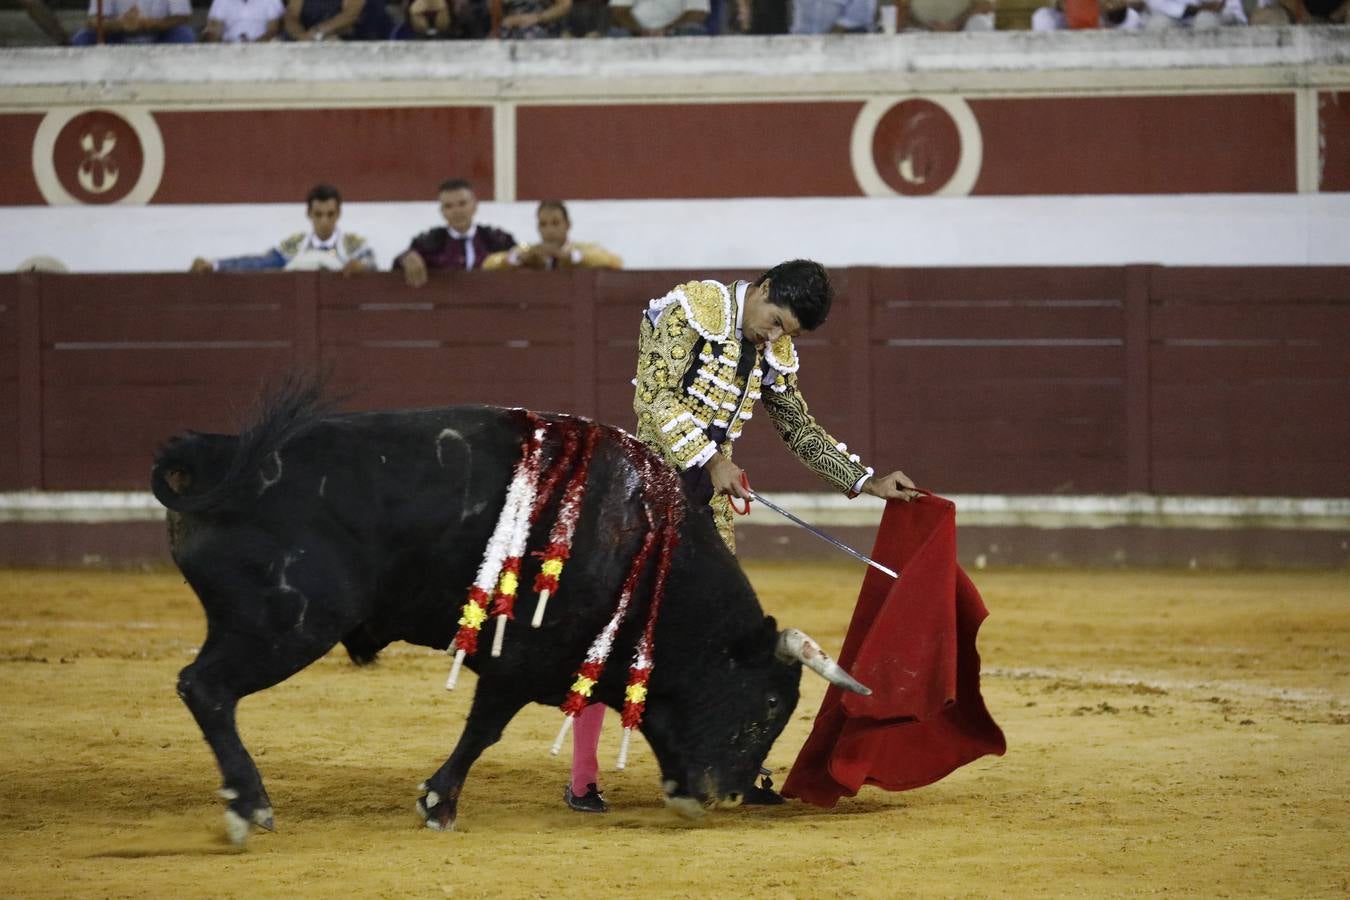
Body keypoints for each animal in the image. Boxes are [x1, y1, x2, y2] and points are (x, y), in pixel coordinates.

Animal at [153, 388, 869, 847]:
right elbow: (485, 727)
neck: (646, 547)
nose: (731, 792)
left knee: (204, 687)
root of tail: (224, 456)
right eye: (768, 707)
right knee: (205, 687)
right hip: (288, 622)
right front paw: (438, 803)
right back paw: (250, 807)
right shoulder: (521, 658)